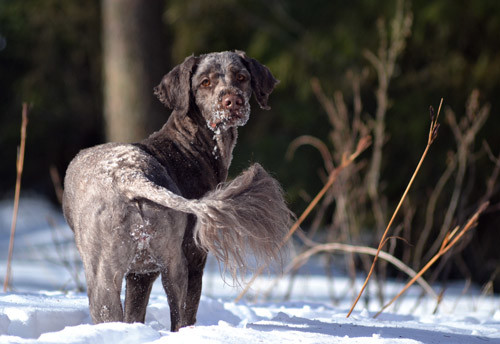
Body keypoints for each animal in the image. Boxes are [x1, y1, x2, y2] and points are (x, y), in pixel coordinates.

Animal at [64, 50, 294, 330]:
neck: (189, 146)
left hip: (143, 270)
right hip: (135, 271)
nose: (232, 101)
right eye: (205, 82)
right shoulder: (190, 259)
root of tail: (131, 176)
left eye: (241, 77)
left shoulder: (143, 273)